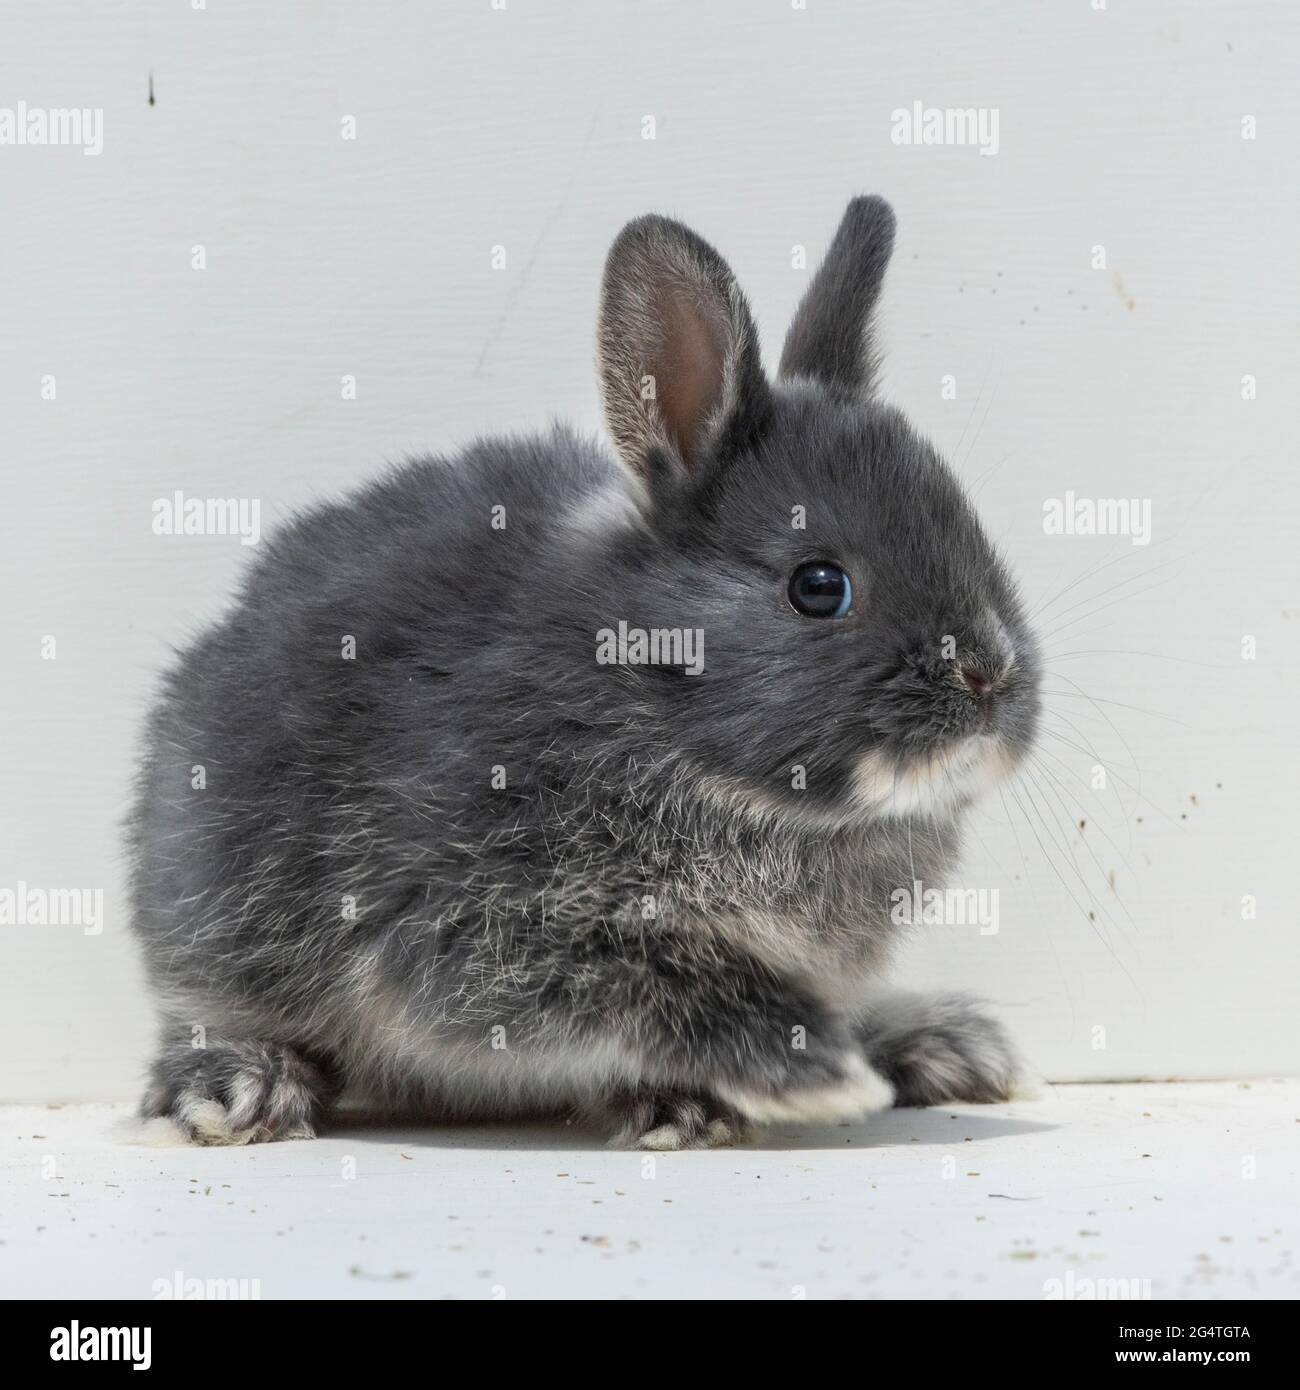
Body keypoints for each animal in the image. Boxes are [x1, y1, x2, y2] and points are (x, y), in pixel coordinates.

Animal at [128, 195, 1039, 1150]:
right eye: (818, 586)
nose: (990, 676)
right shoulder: (479, 926)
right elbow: (660, 981)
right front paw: (815, 1077)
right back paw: (240, 1089)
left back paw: (942, 1047)